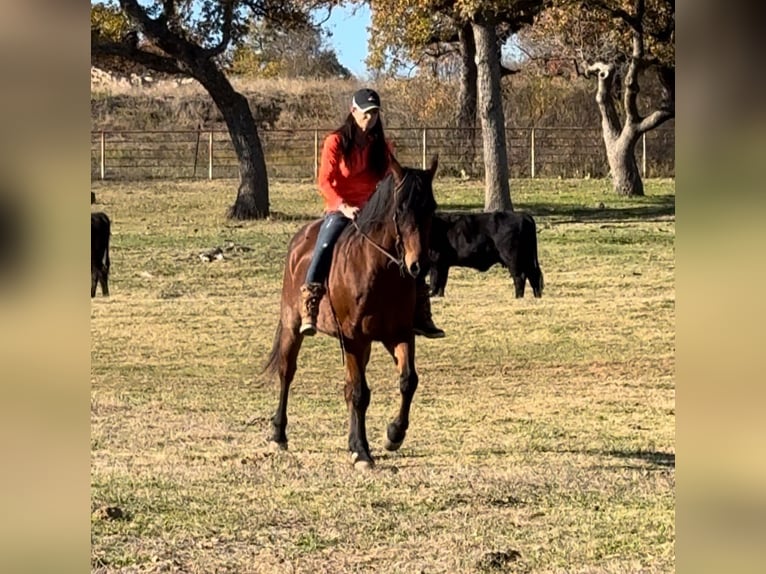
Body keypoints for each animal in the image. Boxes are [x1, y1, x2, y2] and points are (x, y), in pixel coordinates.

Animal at [262, 155, 438, 470]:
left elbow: (408, 381)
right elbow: (359, 393)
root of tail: (299, 241)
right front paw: (362, 452)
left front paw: (393, 435)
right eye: (401, 209)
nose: (418, 265)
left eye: (432, 208)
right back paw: (278, 434)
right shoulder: (355, 339)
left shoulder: (399, 334)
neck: (379, 269)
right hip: (293, 326)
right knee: (287, 373)